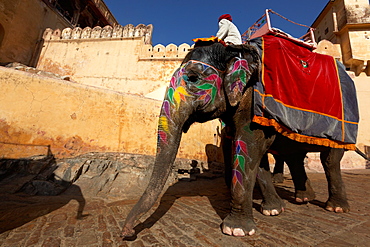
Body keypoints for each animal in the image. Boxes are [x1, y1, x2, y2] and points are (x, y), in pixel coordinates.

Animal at [121, 40, 352, 237]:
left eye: (194, 78)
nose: (128, 232)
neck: (233, 49)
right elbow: (255, 157)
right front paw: (274, 210)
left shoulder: (253, 101)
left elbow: (249, 144)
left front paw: (236, 230)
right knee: (295, 157)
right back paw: (303, 199)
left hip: (343, 127)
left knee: (330, 160)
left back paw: (336, 208)